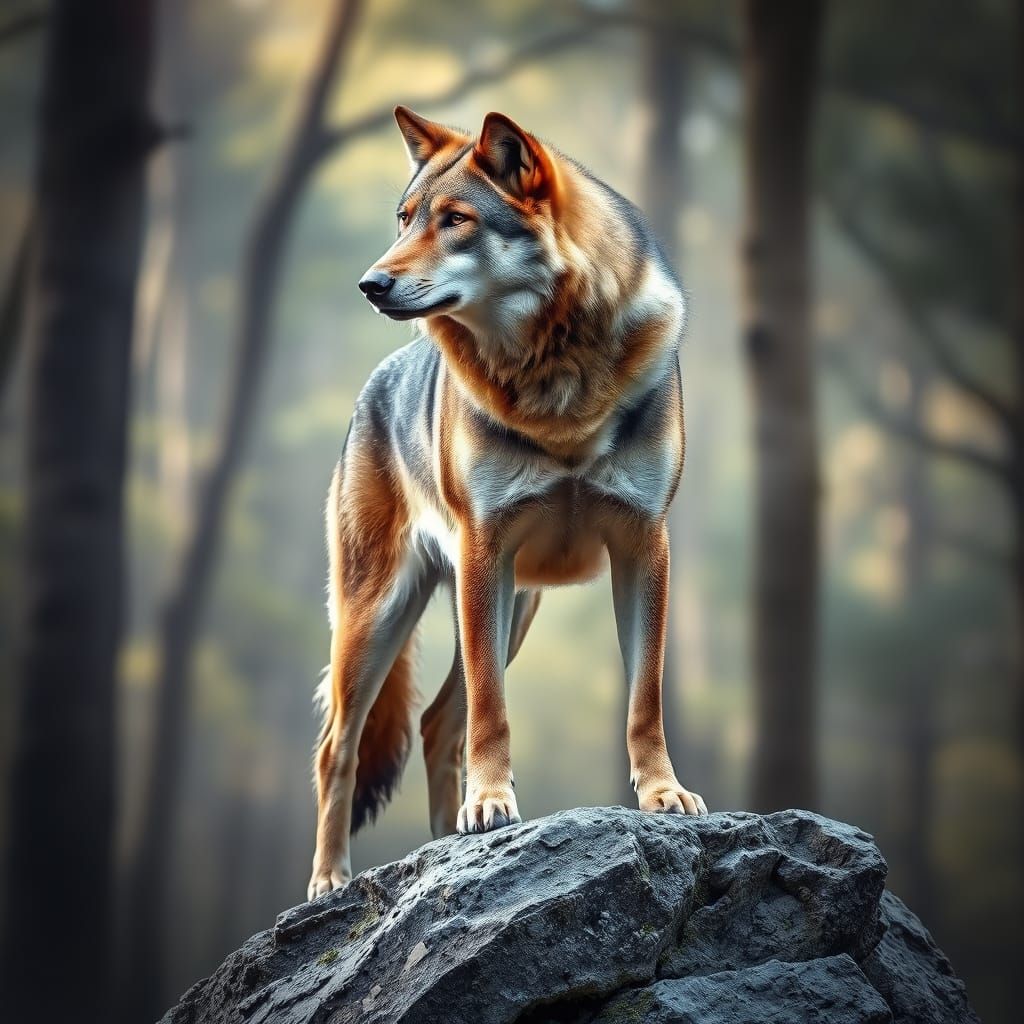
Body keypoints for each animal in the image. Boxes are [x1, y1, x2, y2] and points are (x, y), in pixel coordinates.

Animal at [308, 107, 706, 900]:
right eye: (405, 219)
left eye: (456, 220)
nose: (371, 283)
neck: (557, 381)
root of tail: (376, 381)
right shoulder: (484, 548)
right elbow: (493, 711)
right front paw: (491, 805)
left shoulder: (644, 546)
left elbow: (644, 699)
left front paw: (662, 795)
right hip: (386, 614)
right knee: (339, 747)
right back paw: (331, 881)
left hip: (509, 607)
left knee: (436, 724)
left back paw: (441, 846)